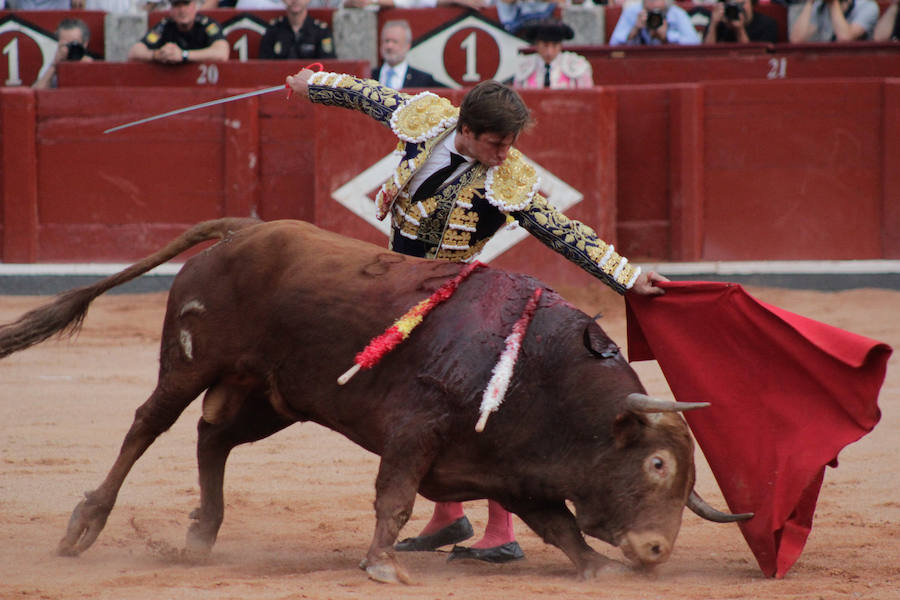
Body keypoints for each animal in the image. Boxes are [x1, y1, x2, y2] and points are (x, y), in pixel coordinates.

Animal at [0, 218, 748, 584]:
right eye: (657, 464)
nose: (655, 549)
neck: (544, 375)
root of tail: (244, 231)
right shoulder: (416, 430)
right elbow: (395, 497)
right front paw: (384, 565)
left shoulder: (515, 471)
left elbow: (558, 525)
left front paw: (597, 567)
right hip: (190, 363)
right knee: (147, 425)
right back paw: (85, 525)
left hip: (271, 396)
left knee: (213, 438)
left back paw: (202, 534)